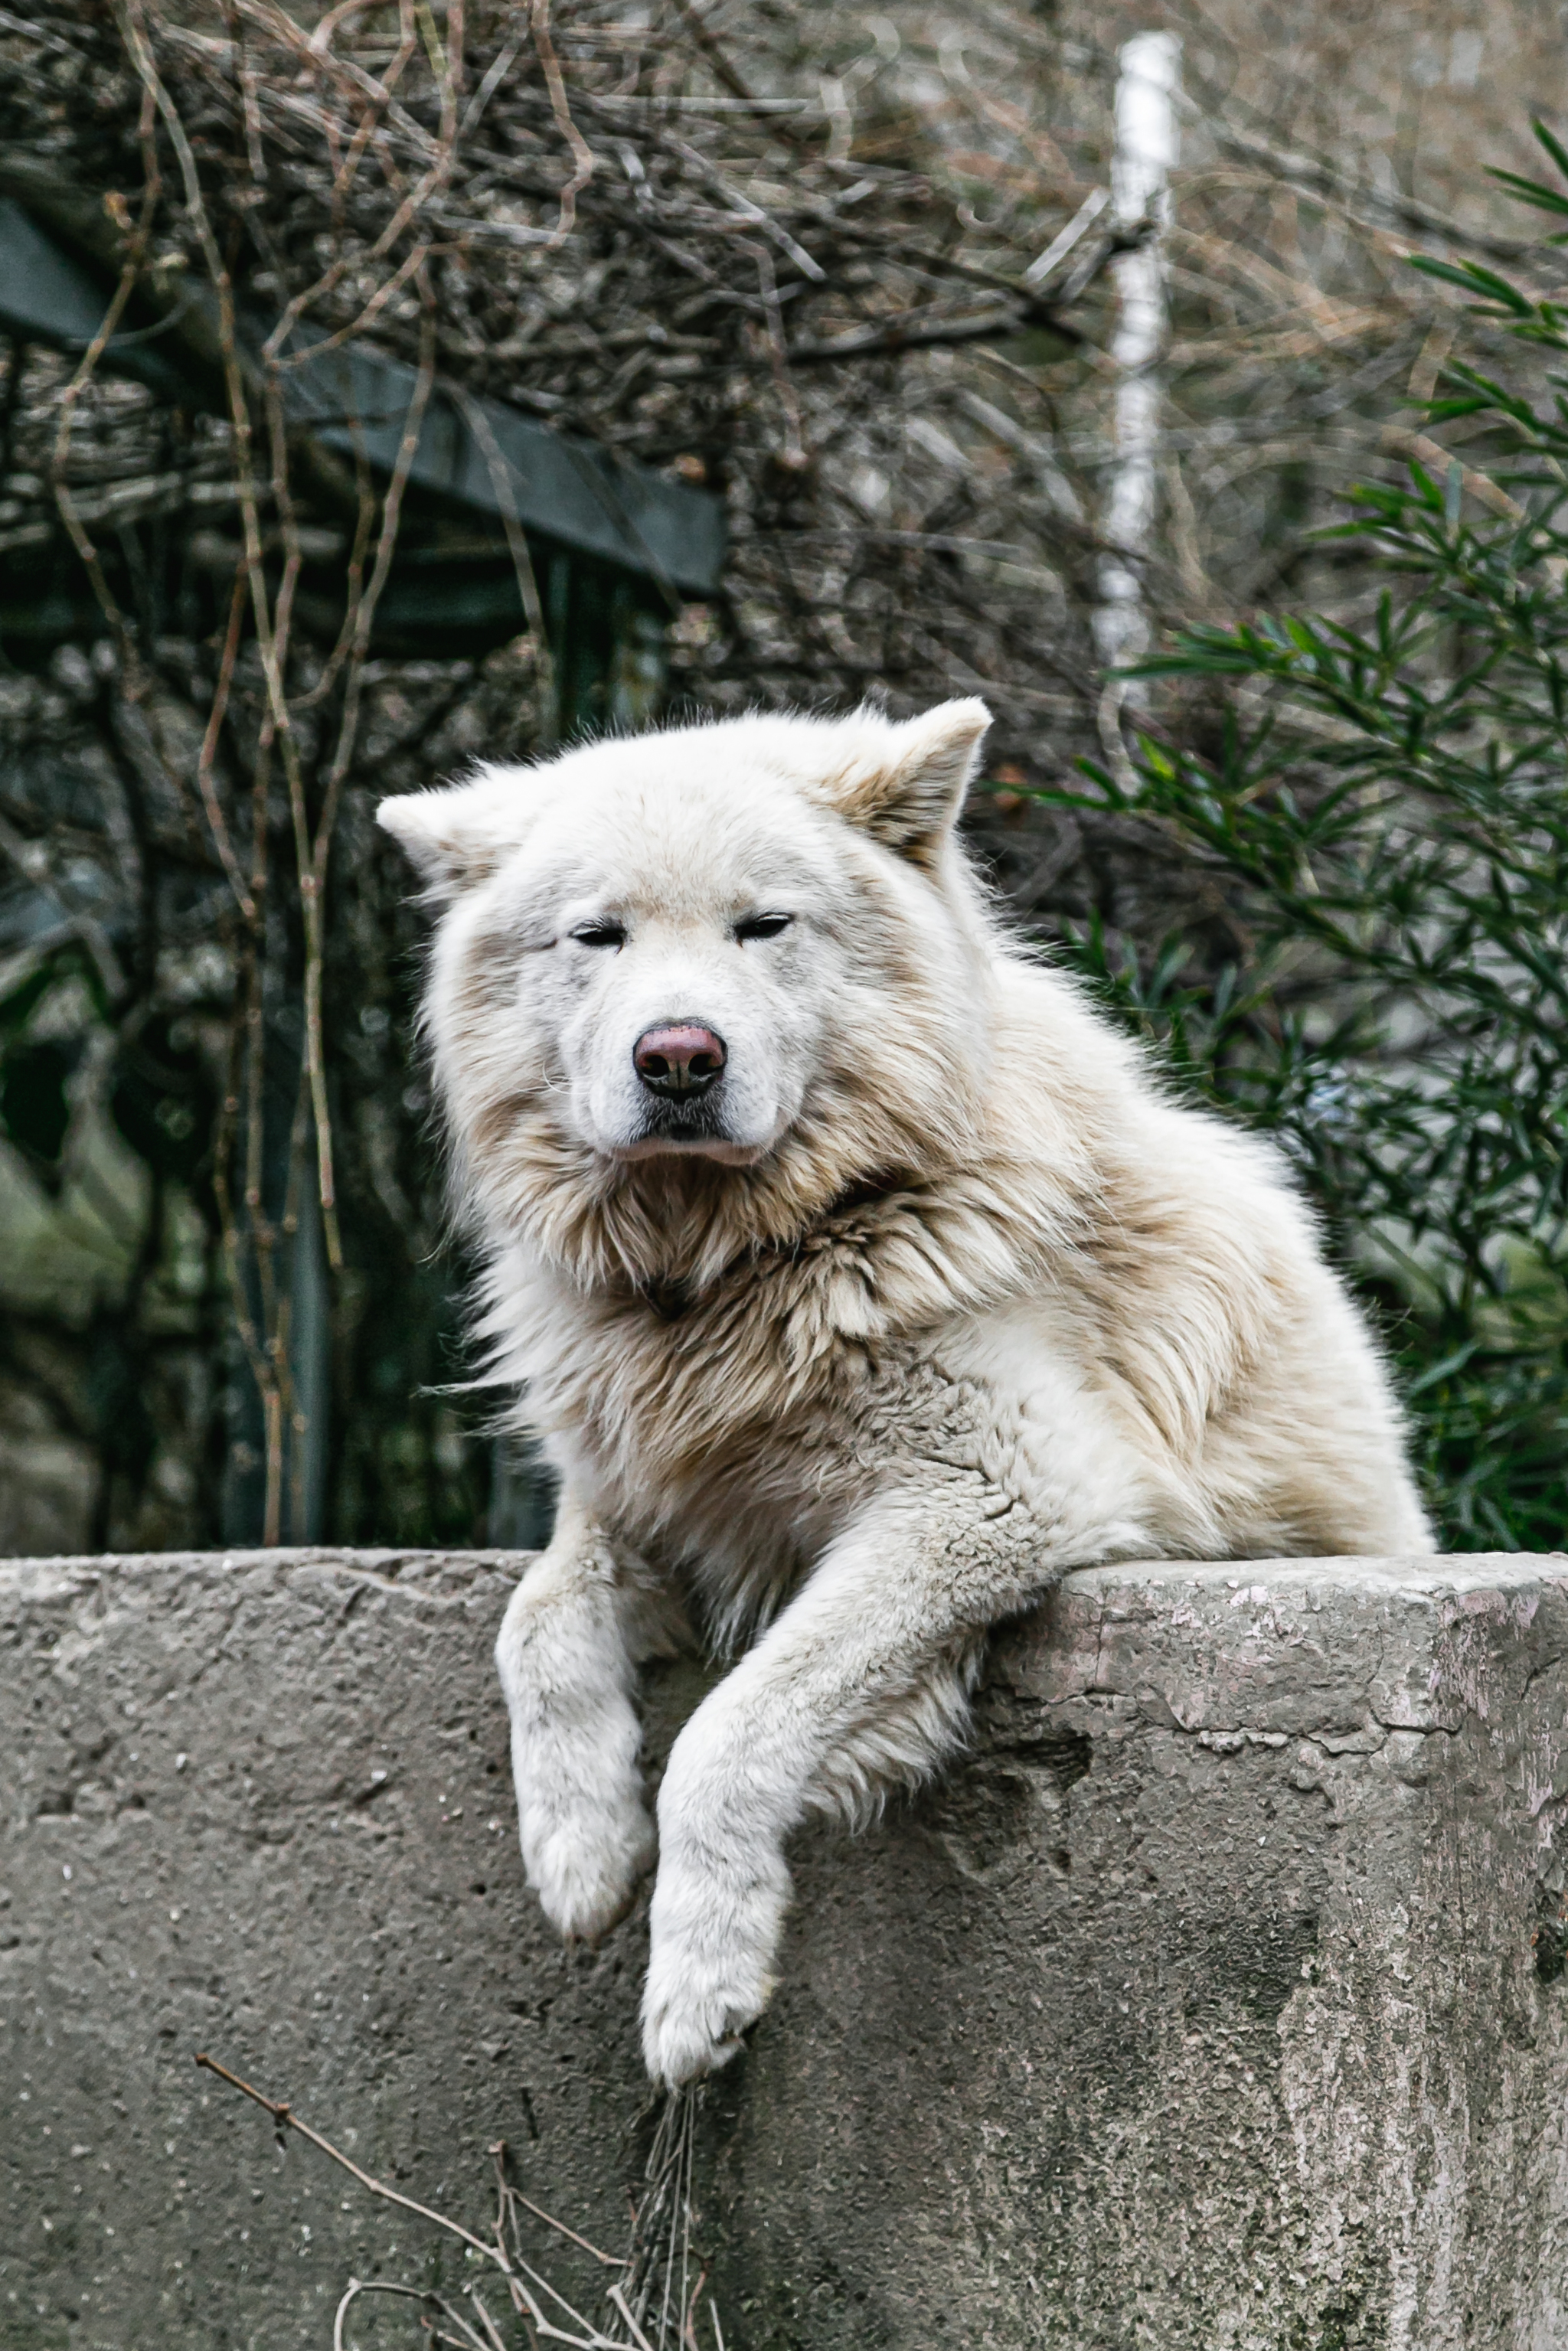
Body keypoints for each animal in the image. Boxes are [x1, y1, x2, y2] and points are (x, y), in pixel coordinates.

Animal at [381, 691, 1439, 2078]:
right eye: (597, 935)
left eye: (762, 925)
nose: (678, 1057)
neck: (748, 1256)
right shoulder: (647, 1497)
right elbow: (537, 1625)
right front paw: (580, 1854)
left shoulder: (990, 1497)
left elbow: (728, 1732)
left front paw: (698, 1983)